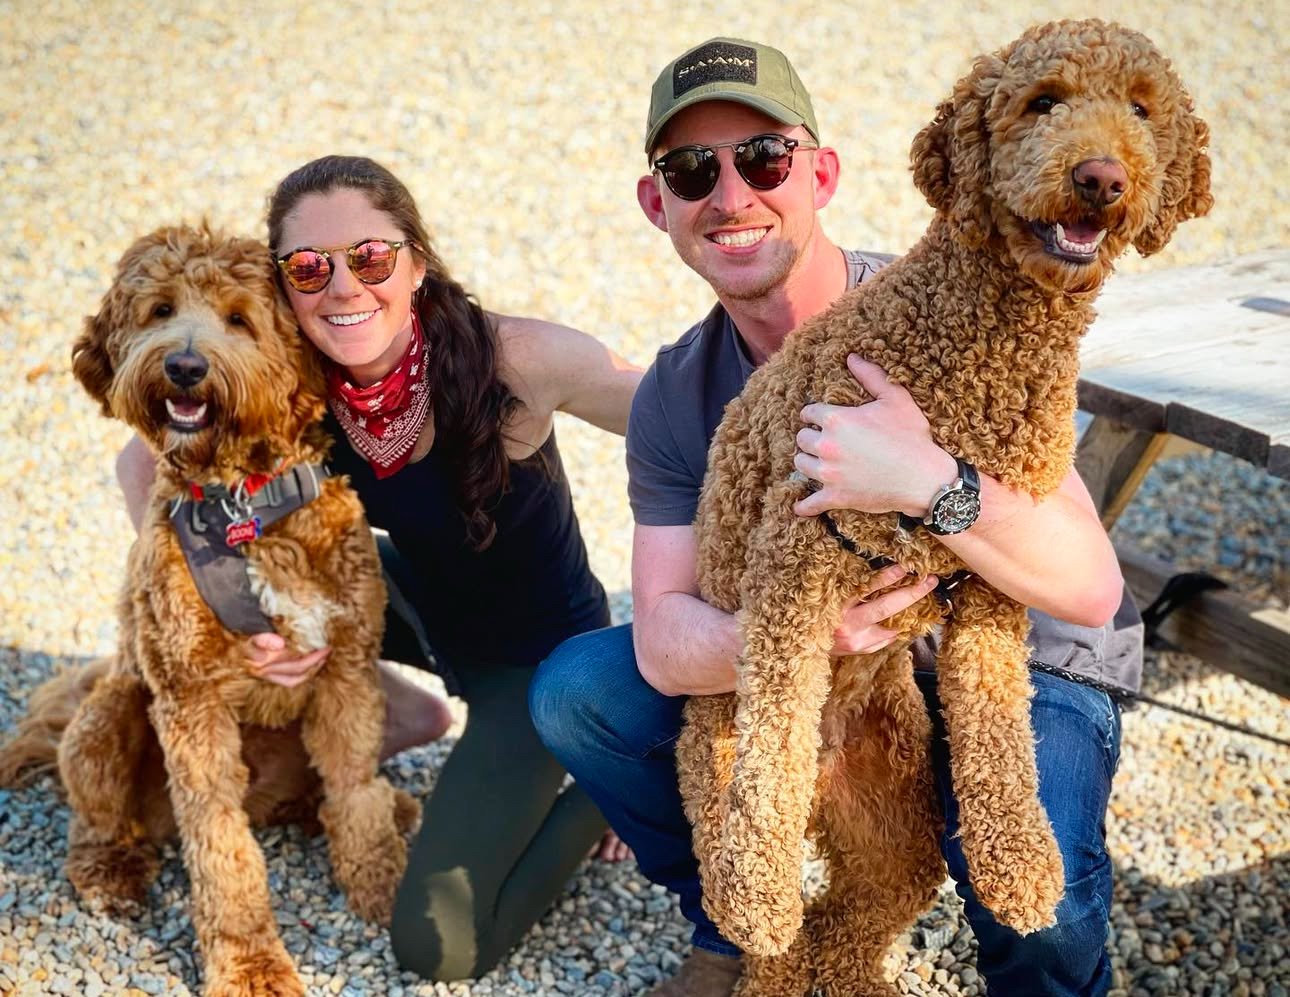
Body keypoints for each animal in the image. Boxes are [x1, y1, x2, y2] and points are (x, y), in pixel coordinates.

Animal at [2, 224, 418, 997]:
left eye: (238, 318)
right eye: (160, 310)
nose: (186, 366)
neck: (245, 505)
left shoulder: (347, 669)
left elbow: (355, 789)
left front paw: (382, 884)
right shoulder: (190, 699)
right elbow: (221, 844)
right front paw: (250, 963)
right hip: (108, 718)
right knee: (96, 819)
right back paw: (111, 871)